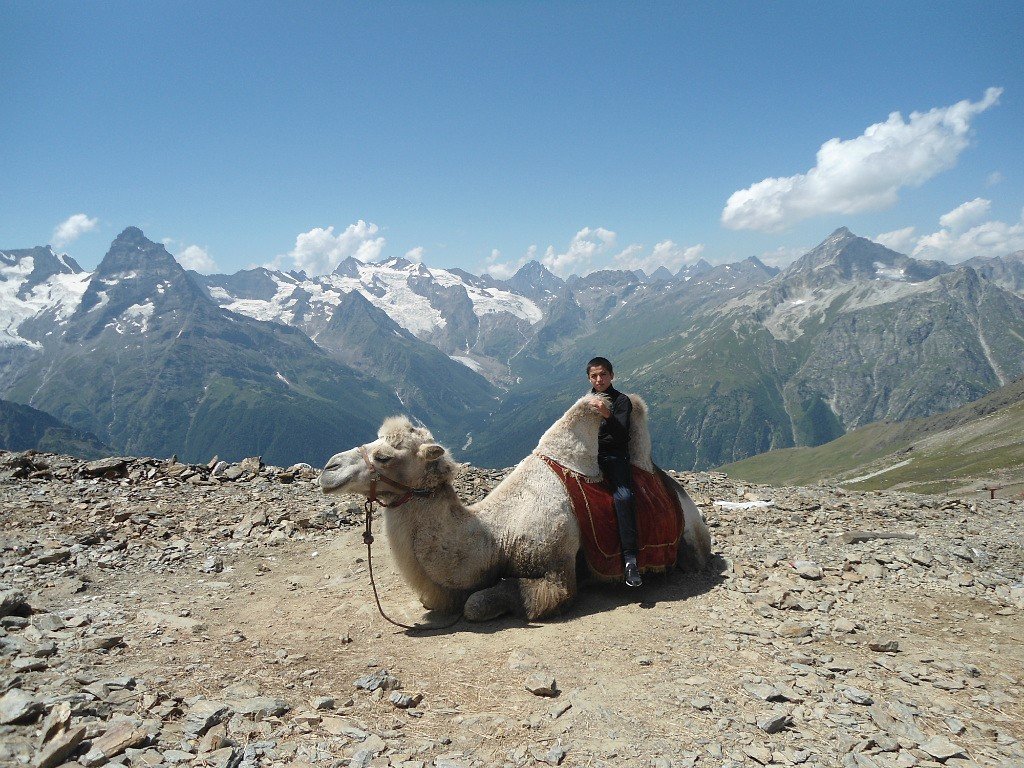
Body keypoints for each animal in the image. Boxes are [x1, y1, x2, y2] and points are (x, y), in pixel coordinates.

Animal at [319, 393, 712, 622]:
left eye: (384, 456)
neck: (497, 536)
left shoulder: (556, 572)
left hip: (690, 543)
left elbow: (477, 604)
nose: (328, 468)